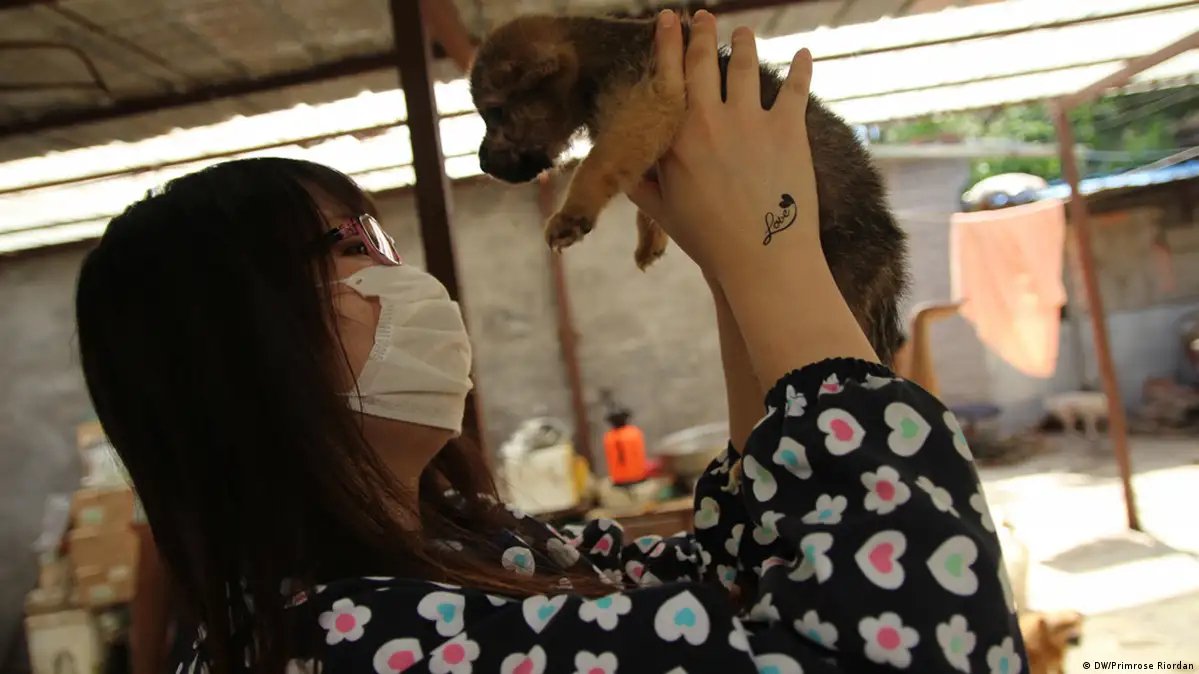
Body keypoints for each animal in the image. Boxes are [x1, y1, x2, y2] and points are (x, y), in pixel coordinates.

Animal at [469, 13, 909, 365]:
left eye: (496, 112)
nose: (482, 163)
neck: (596, 59)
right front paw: (649, 235)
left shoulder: (650, 99)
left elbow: (598, 162)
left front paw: (572, 211)